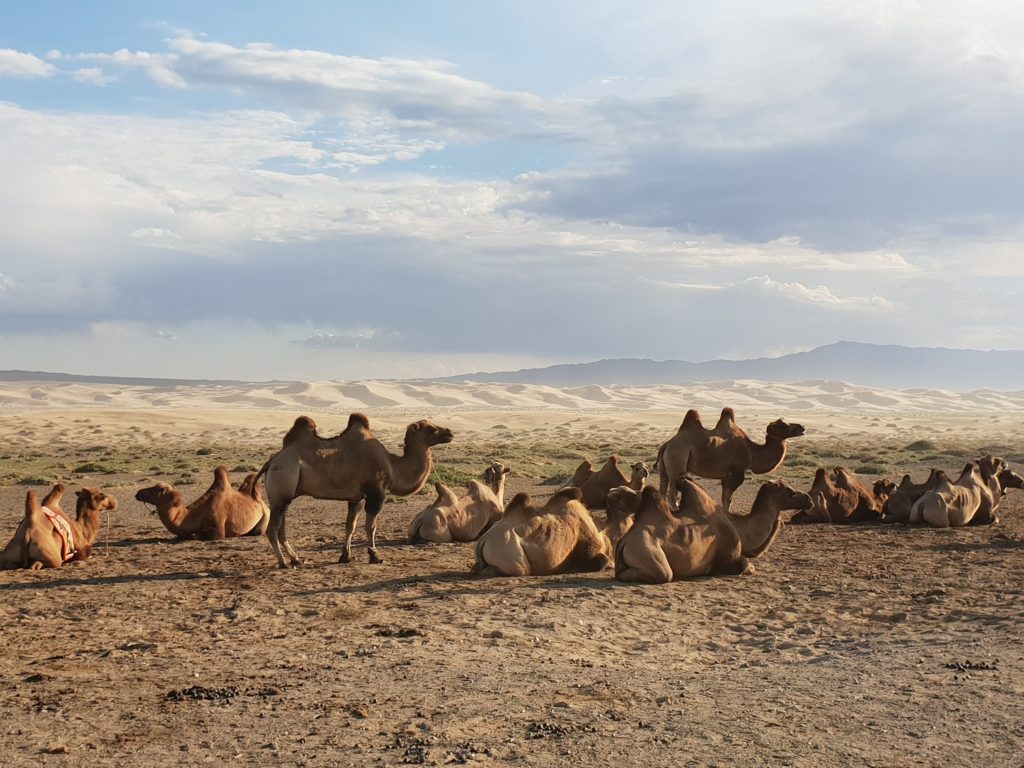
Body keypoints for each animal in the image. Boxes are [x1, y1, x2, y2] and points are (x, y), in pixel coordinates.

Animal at [606, 481, 806, 581]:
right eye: (790, 491)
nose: (808, 499)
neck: (739, 529)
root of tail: (624, 541)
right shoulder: (729, 555)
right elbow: (743, 564)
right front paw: (750, 568)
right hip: (646, 550)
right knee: (664, 574)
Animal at [655, 417, 806, 514]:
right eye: (785, 425)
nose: (802, 427)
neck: (752, 452)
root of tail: (667, 445)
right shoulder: (736, 473)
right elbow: (728, 498)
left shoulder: (725, 476)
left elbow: (724, 498)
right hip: (677, 464)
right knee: (672, 494)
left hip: (664, 469)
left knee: (662, 490)